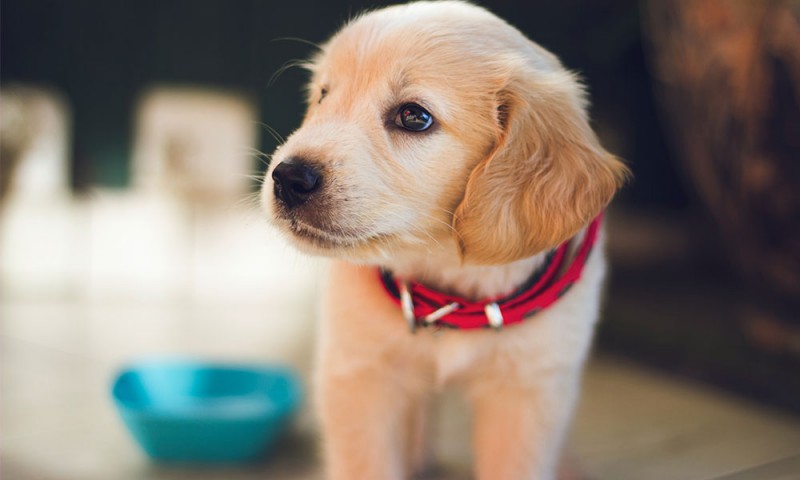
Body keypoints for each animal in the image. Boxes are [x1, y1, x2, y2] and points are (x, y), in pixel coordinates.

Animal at [260, 1, 628, 478]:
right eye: (323, 95)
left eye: (414, 117)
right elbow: (365, 462)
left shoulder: (529, 390)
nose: (287, 178)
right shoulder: (358, 374)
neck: (447, 282)